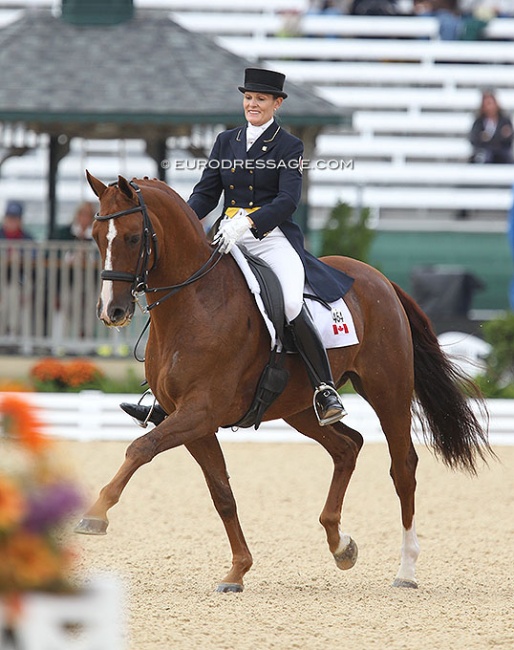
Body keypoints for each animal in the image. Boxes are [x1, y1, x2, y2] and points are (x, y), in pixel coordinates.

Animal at [76, 175, 488, 588]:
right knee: (347, 447)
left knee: (402, 467)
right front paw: (238, 570)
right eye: (96, 237)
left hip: (388, 392)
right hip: (300, 406)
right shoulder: (191, 420)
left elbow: (140, 448)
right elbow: (221, 493)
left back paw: (406, 569)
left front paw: (95, 515)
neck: (195, 302)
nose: (111, 311)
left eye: (132, 237)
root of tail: (379, 279)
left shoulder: (200, 411)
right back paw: (341, 545)